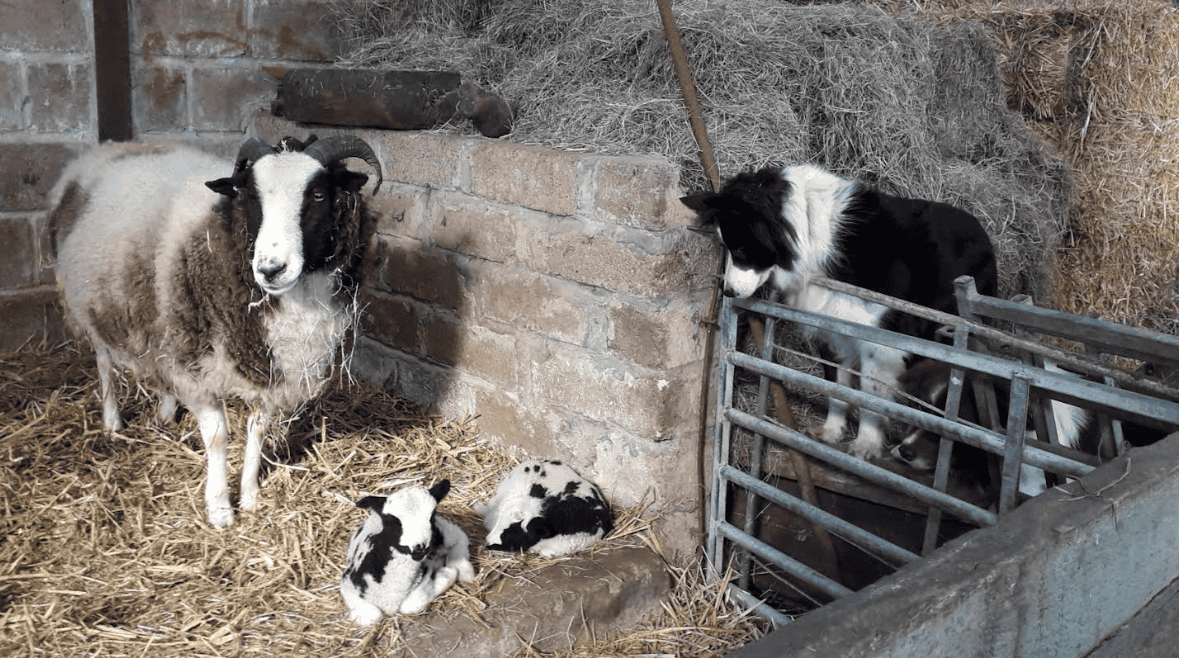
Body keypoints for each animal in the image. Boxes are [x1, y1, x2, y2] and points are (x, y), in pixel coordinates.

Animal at [47, 135, 380, 528]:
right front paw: (220, 509)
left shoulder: (265, 365)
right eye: (250, 198)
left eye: (317, 195)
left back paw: (165, 412)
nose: (270, 269)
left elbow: (258, 430)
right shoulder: (200, 366)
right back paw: (112, 422)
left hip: (162, 317)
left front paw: (249, 496)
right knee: (103, 362)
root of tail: (114, 145)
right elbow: (219, 438)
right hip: (97, 304)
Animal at [340, 480, 475, 625]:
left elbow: (410, 605)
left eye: (432, 516)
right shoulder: (347, 584)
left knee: (459, 536)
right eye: (393, 522)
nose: (419, 548)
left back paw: (465, 571)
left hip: (442, 532)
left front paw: (446, 575)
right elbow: (374, 615)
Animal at [682, 164, 997, 460]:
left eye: (742, 249)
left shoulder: (880, 345)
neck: (811, 232)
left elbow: (870, 397)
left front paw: (866, 445)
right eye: (725, 248)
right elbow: (836, 388)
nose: (728, 293)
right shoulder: (832, 331)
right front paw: (832, 433)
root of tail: (981, 230)